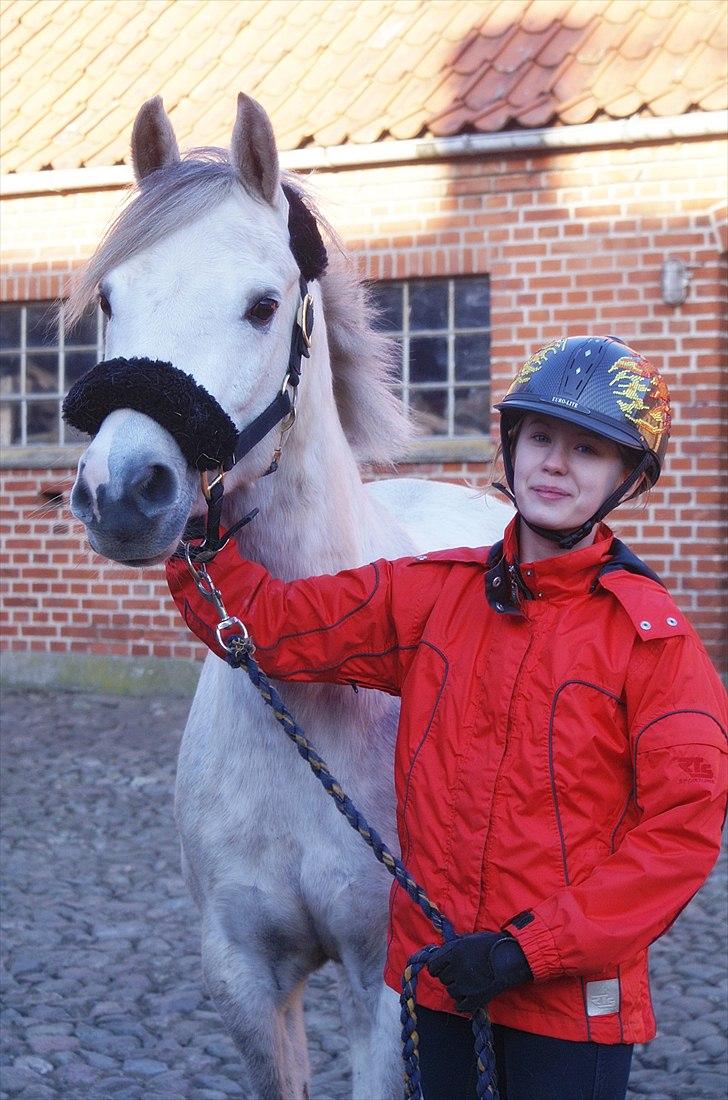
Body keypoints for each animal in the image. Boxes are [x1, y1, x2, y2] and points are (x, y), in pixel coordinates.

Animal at [66, 93, 512, 1099]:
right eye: (110, 299)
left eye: (263, 305)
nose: (124, 492)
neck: (310, 708)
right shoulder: (243, 976)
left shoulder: (389, 986)